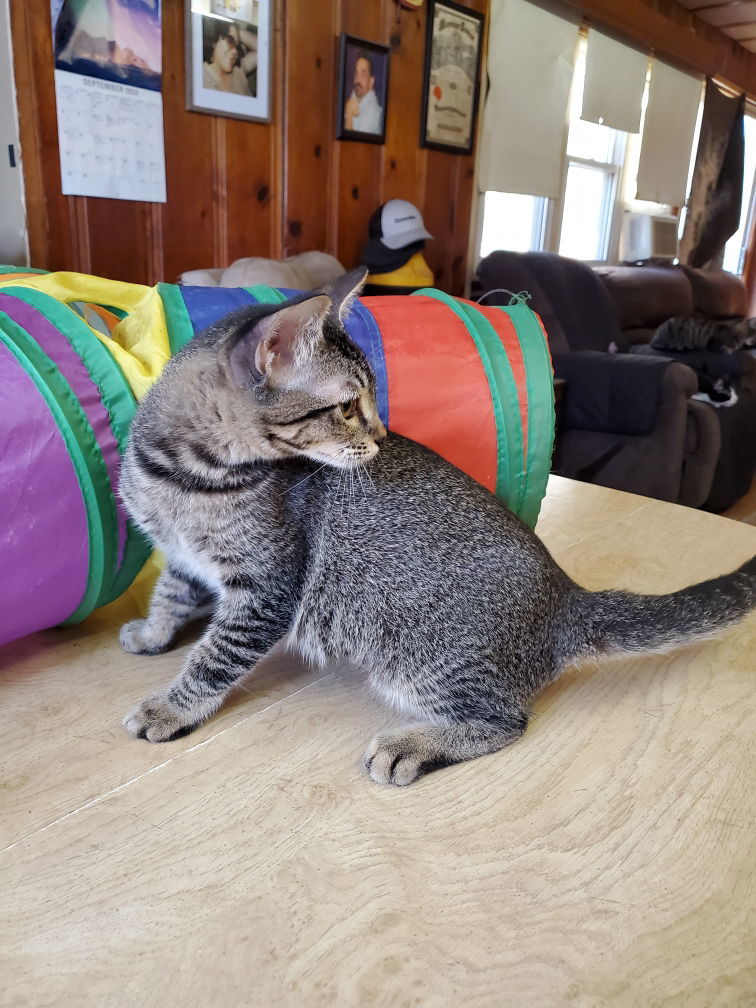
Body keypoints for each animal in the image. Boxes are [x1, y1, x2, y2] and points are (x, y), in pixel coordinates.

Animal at [118, 268, 756, 786]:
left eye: (369, 399)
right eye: (347, 406)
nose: (381, 437)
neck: (183, 476)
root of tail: (566, 596)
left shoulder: (266, 588)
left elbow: (215, 657)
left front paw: (170, 708)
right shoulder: (184, 559)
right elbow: (170, 596)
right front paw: (152, 634)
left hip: (415, 653)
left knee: (506, 720)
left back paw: (414, 745)